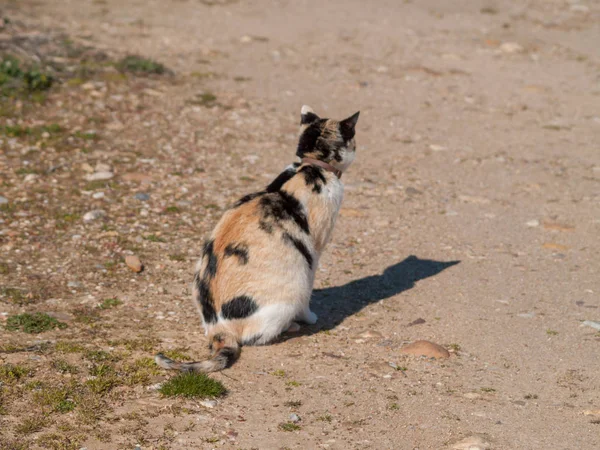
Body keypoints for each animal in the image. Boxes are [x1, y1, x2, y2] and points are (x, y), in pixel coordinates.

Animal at [156, 105, 360, 372]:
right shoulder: (314, 252)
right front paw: (310, 317)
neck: (310, 168)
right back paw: (291, 325)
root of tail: (217, 327)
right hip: (291, 290)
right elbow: (309, 295)